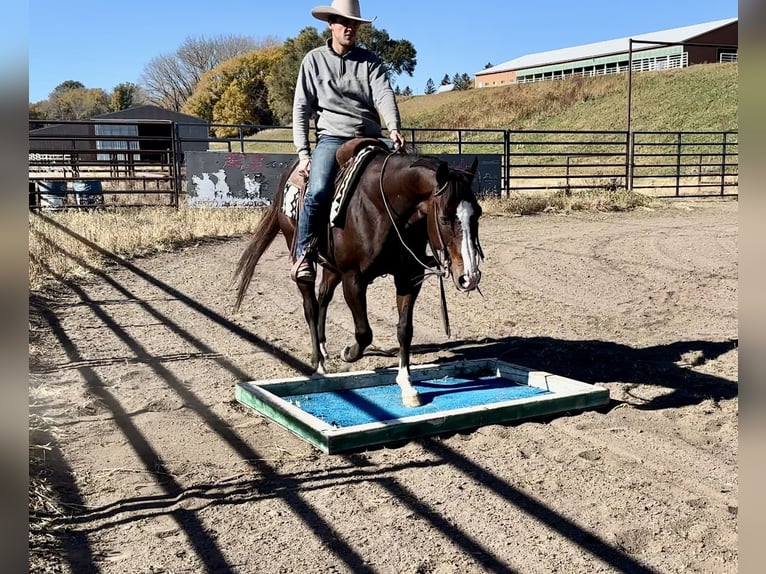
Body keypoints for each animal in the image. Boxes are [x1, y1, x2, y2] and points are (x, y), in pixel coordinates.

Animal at [236, 144, 486, 410]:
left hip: (332, 267)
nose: (470, 276)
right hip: (301, 256)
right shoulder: (353, 279)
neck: (384, 208)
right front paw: (348, 353)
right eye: (445, 217)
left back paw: (323, 347)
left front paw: (407, 385)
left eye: (478, 214)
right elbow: (364, 332)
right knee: (310, 304)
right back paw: (318, 362)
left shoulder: (408, 277)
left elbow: (404, 329)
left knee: (324, 296)